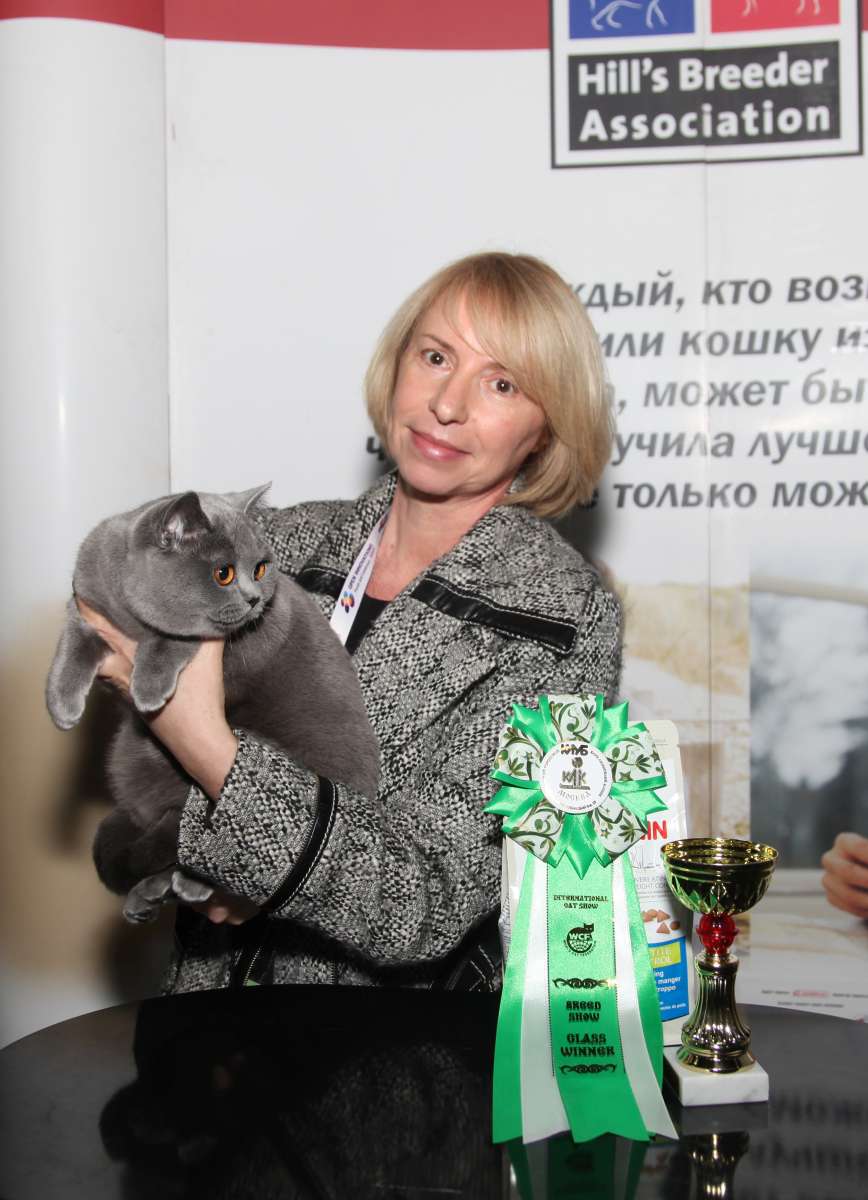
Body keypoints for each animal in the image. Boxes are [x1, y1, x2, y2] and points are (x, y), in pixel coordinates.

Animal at [46, 484, 380, 923]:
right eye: (224, 573)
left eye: (261, 569)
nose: (254, 599)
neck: (131, 617)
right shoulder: (87, 600)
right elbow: (73, 641)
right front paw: (61, 703)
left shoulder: (248, 638)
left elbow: (176, 637)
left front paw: (149, 686)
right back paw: (148, 895)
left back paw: (189, 883)